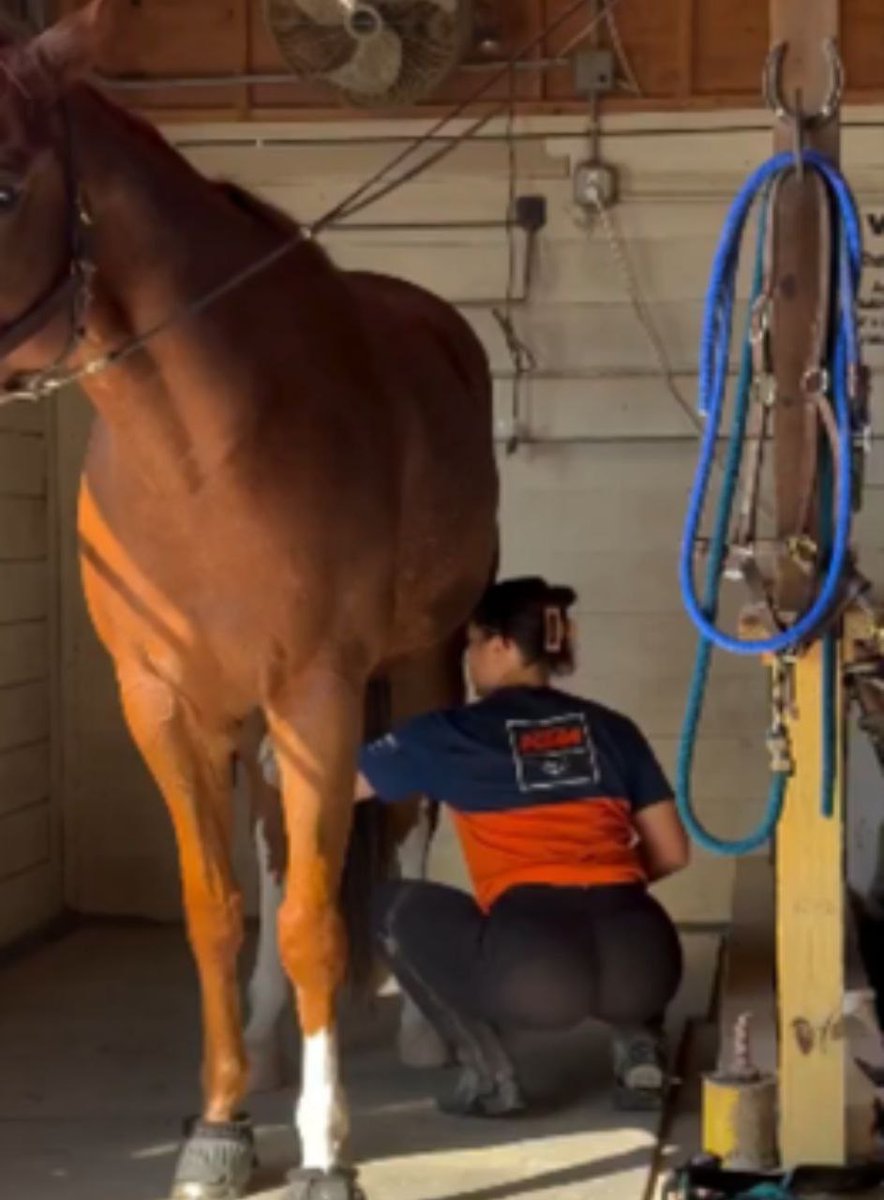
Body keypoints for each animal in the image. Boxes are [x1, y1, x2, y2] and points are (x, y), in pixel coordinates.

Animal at [0, 5, 498, 1199]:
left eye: (3, 184)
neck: (200, 457)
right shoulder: (163, 707)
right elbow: (218, 908)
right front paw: (222, 1122)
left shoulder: (319, 692)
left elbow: (319, 916)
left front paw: (325, 1147)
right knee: (276, 842)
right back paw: (272, 1037)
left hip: (412, 662)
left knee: (405, 820)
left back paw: (422, 1031)